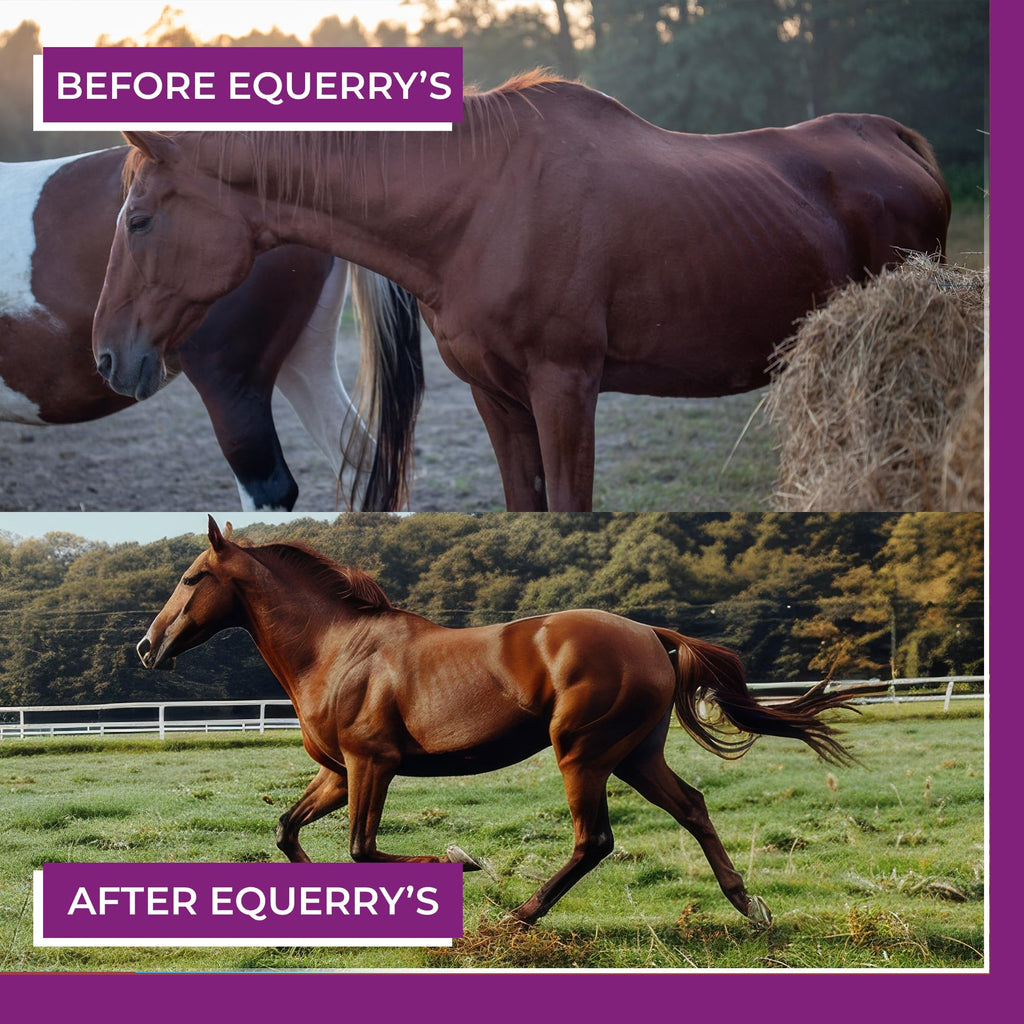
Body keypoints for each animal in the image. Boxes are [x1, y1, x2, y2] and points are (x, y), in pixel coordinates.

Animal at [1, 146, 422, 510]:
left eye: (138, 222)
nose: (105, 357)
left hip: (230, 386)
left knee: (270, 489)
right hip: (304, 361)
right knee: (362, 466)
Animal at [92, 72, 951, 512]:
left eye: (138, 219)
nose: (106, 356)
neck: (481, 202)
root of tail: (894, 140)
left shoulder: (565, 389)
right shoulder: (497, 397)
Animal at [136, 516, 860, 926]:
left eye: (192, 577)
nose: (147, 646)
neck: (337, 649)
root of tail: (653, 634)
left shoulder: (373, 764)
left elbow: (363, 849)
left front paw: (462, 861)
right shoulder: (339, 773)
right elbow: (288, 832)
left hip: (582, 754)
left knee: (595, 840)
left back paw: (520, 916)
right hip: (635, 755)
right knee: (692, 807)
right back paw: (748, 905)